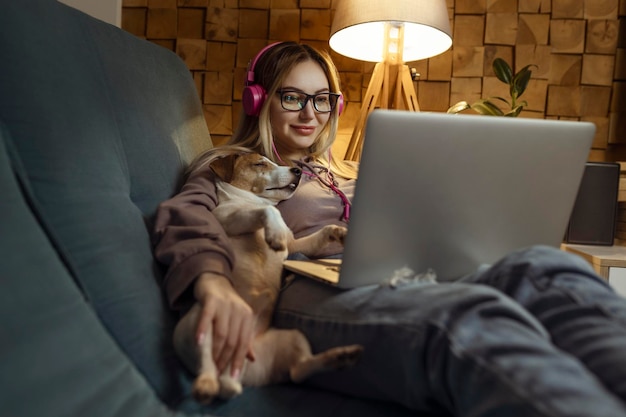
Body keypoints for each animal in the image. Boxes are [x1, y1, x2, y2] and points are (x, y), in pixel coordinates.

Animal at [173, 147, 364, 404]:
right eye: (259, 164)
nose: (298, 170)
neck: (248, 201)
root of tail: (234, 372)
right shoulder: (230, 219)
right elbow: (269, 210)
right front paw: (274, 232)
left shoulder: (294, 246)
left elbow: (320, 233)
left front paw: (340, 232)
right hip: (205, 322)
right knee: (207, 365)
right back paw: (205, 386)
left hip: (294, 337)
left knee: (298, 371)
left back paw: (342, 356)